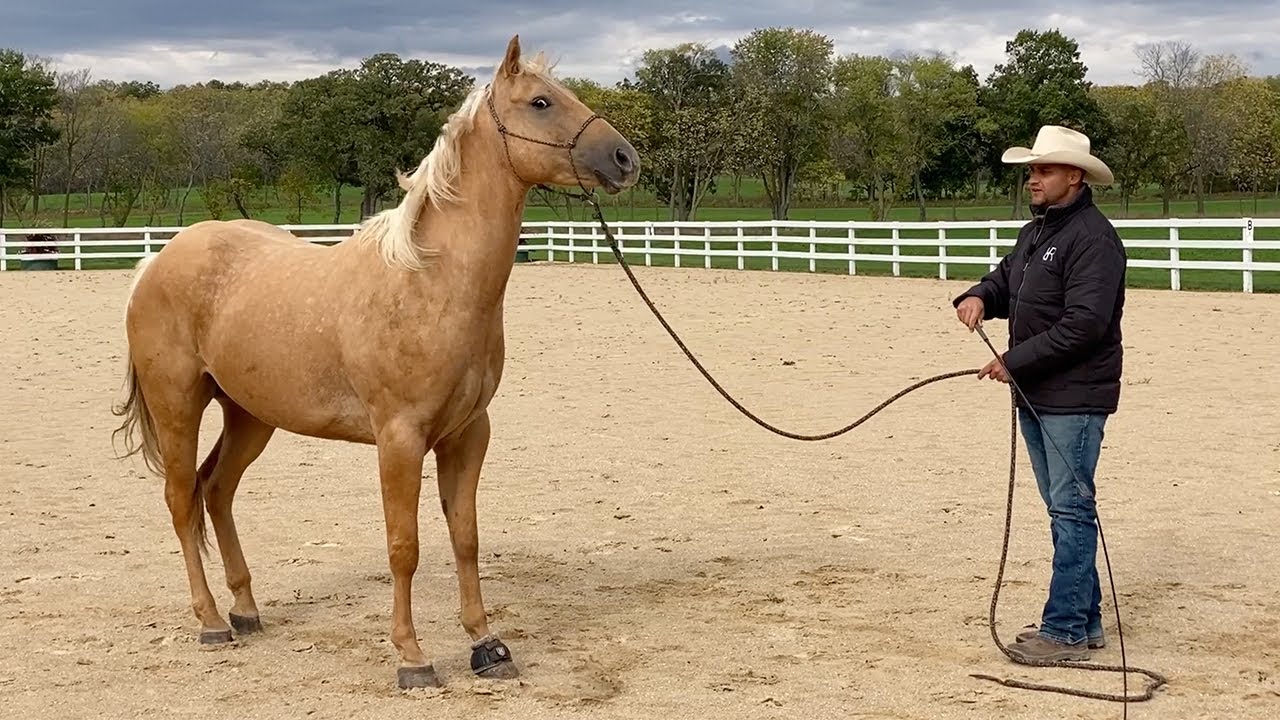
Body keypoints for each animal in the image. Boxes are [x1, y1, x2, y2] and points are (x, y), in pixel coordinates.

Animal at [110, 34, 641, 689]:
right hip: (179, 405)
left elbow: (465, 537)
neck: (430, 282)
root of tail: (155, 263)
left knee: (217, 491)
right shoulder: (400, 438)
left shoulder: (468, 435)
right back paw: (211, 622)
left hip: (250, 415)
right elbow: (403, 546)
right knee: (183, 500)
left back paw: (246, 611)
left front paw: (486, 644)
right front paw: (412, 657)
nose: (624, 158)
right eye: (541, 102)